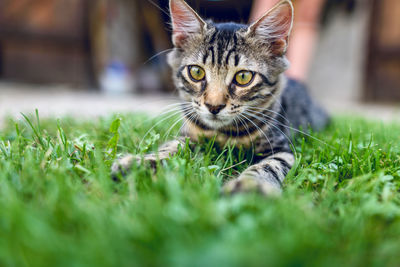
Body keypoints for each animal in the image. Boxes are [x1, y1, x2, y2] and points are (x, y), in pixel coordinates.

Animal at [111, 0, 330, 197]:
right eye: (196, 72)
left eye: (243, 77)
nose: (213, 106)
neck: (225, 134)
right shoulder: (188, 137)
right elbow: (169, 148)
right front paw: (139, 163)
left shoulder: (283, 150)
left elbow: (267, 166)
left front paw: (249, 186)